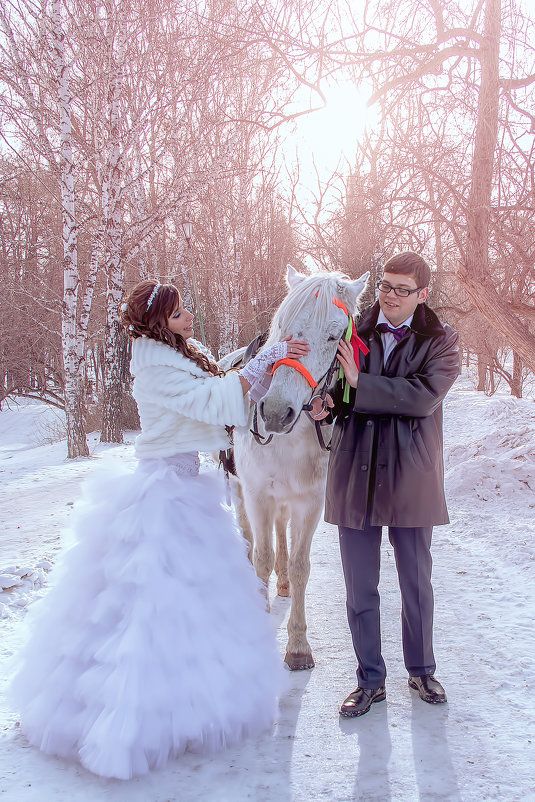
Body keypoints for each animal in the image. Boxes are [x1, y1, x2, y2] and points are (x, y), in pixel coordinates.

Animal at [228, 268, 370, 668]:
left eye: (334, 335)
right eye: (284, 326)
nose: (276, 412)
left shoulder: (308, 503)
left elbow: (299, 565)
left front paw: (298, 646)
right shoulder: (258, 496)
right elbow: (261, 558)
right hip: (241, 491)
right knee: (250, 539)